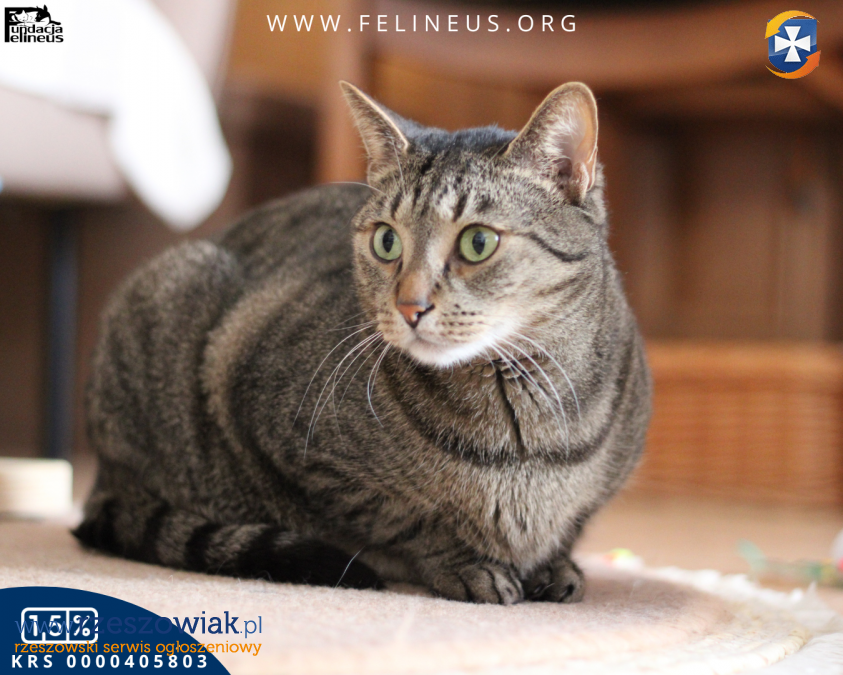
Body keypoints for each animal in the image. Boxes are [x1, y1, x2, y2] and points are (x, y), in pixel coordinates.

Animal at [74, 81, 651, 605]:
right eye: (386, 240)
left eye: (477, 242)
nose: (410, 306)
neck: (523, 433)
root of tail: (103, 474)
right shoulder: (282, 431)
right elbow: (404, 520)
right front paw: (464, 563)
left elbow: (571, 524)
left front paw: (555, 565)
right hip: (174, 288)